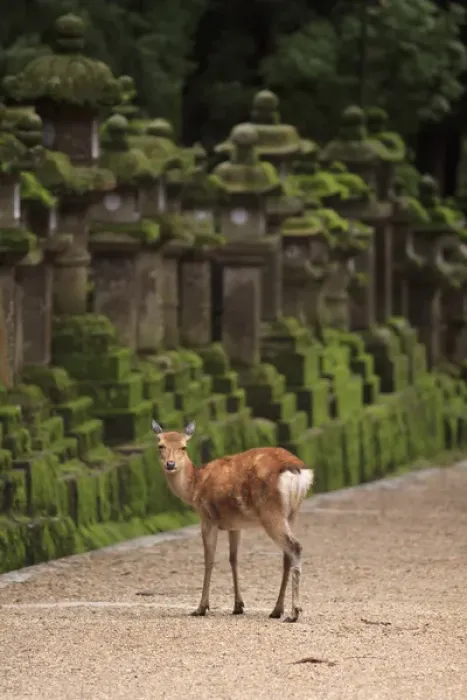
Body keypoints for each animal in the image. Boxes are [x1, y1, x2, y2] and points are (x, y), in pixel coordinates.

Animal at [152, 419, 314, 623]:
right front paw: (238, 605)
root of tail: (297, 470)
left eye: (183, 446)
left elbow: (209, 559)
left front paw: (201, 608)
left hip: (271, 513)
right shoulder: (235, 525)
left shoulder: (208, 518)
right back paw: (277, 610)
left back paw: (294, 612)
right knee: (287, 555)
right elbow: (233, 558)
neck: (194, 486)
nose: (170, 464)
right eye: (160, 445)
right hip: (292, 513)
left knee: (295, 547)